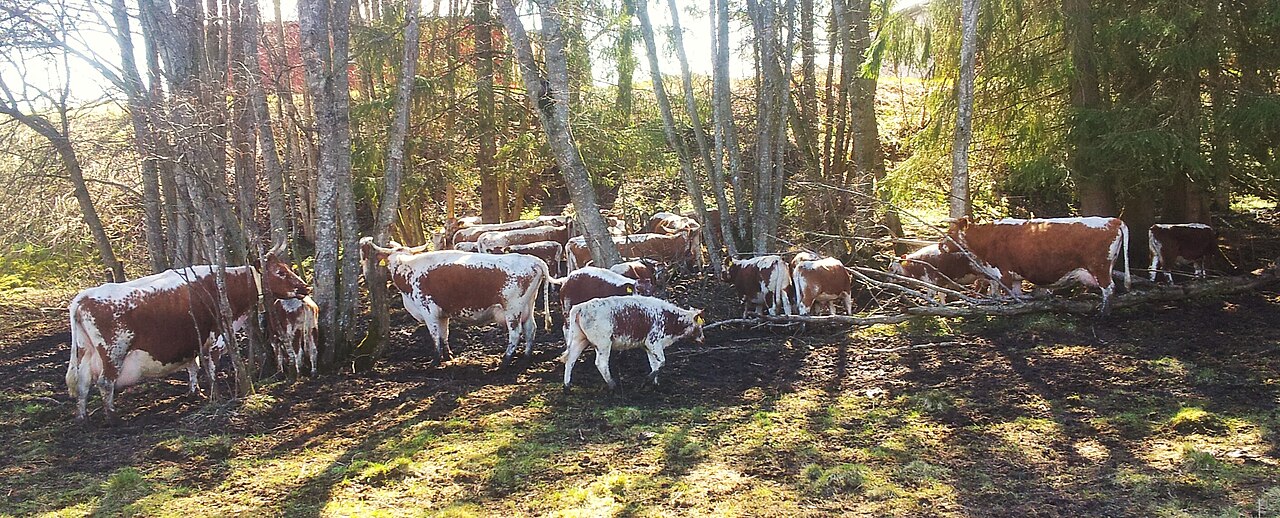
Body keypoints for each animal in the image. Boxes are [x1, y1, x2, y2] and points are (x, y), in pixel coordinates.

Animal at [66, 243, 310, 422]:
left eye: (288, 268)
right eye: (280, 272)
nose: (305, 287)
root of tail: (84, 297)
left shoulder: (192, 340)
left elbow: (193, 365)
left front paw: (196, 392)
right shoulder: (217, 336)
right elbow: (211, 367)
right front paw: (215, 395)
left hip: (85, 352)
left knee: (83, 383)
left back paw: (82, 417)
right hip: (114, 351)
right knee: (104, 383)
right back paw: (111, 417)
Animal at [360, 238, 551, 366]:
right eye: (391, 261)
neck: (408, 270)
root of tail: (533, 260)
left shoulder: (429, 312)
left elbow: (435, 336)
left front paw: (435, 361)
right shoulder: (442, 314)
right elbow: (444, 335)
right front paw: (448, 356)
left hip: (512, 309)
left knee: (515, 333)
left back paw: (505, 360)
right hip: (527, 307)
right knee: (531, 329)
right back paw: (526, 356)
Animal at [560, 295, 704, 392]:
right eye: (700, 325)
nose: (703, 338)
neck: (668, 317)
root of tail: (581, 307)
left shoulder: (648, 347)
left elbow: (654, 364)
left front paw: (654, 383)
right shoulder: (653, 342)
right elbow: (662, 362)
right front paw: (647, 380)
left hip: (580, 340)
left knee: (571, 360)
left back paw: (567, 386)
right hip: (603, 344)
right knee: (601, 364)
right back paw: (612, 385)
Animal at [941, 216, 1131, 314]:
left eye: (951, 231)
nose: (941, 245)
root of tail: (1113, 220)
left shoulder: (1003, 272)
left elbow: (1006, 295)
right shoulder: (1012, 276)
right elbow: (1011, 294)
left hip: (1100, 268)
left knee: (1109, 288)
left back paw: (1102, 315)